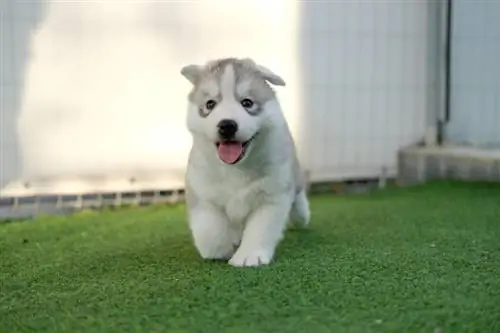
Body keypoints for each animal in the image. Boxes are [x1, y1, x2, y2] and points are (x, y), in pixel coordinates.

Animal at [180, 56, 310, 264]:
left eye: (247, 103)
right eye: (210, 104)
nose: (227, 125)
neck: (236, 168)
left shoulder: (272, 195)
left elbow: (260, 228)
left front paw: (249, 256)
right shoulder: (202, 189)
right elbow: (208, 228)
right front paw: (219, 250)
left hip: (293, 174)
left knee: (298, 195)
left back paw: (301, 215)